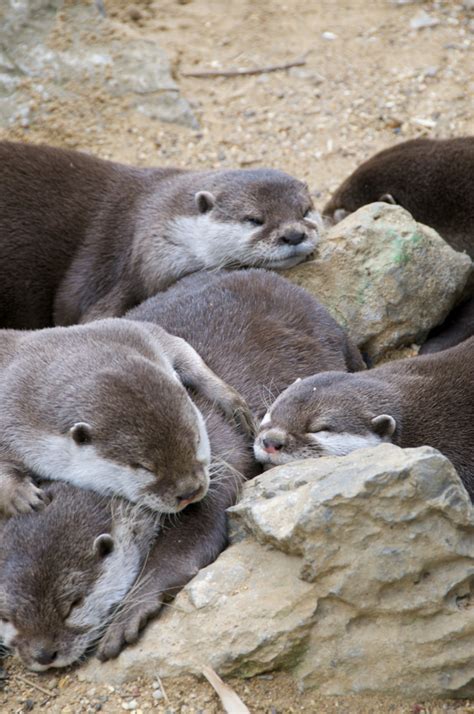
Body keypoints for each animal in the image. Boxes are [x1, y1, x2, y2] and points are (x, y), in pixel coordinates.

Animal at [0, 320, 252, 516]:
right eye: (144, 467)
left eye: (197, 441)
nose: (189, 491)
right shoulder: (11, 414)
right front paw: (22, 495)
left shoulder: (131, 332)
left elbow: (183, 350)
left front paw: (234, 405)